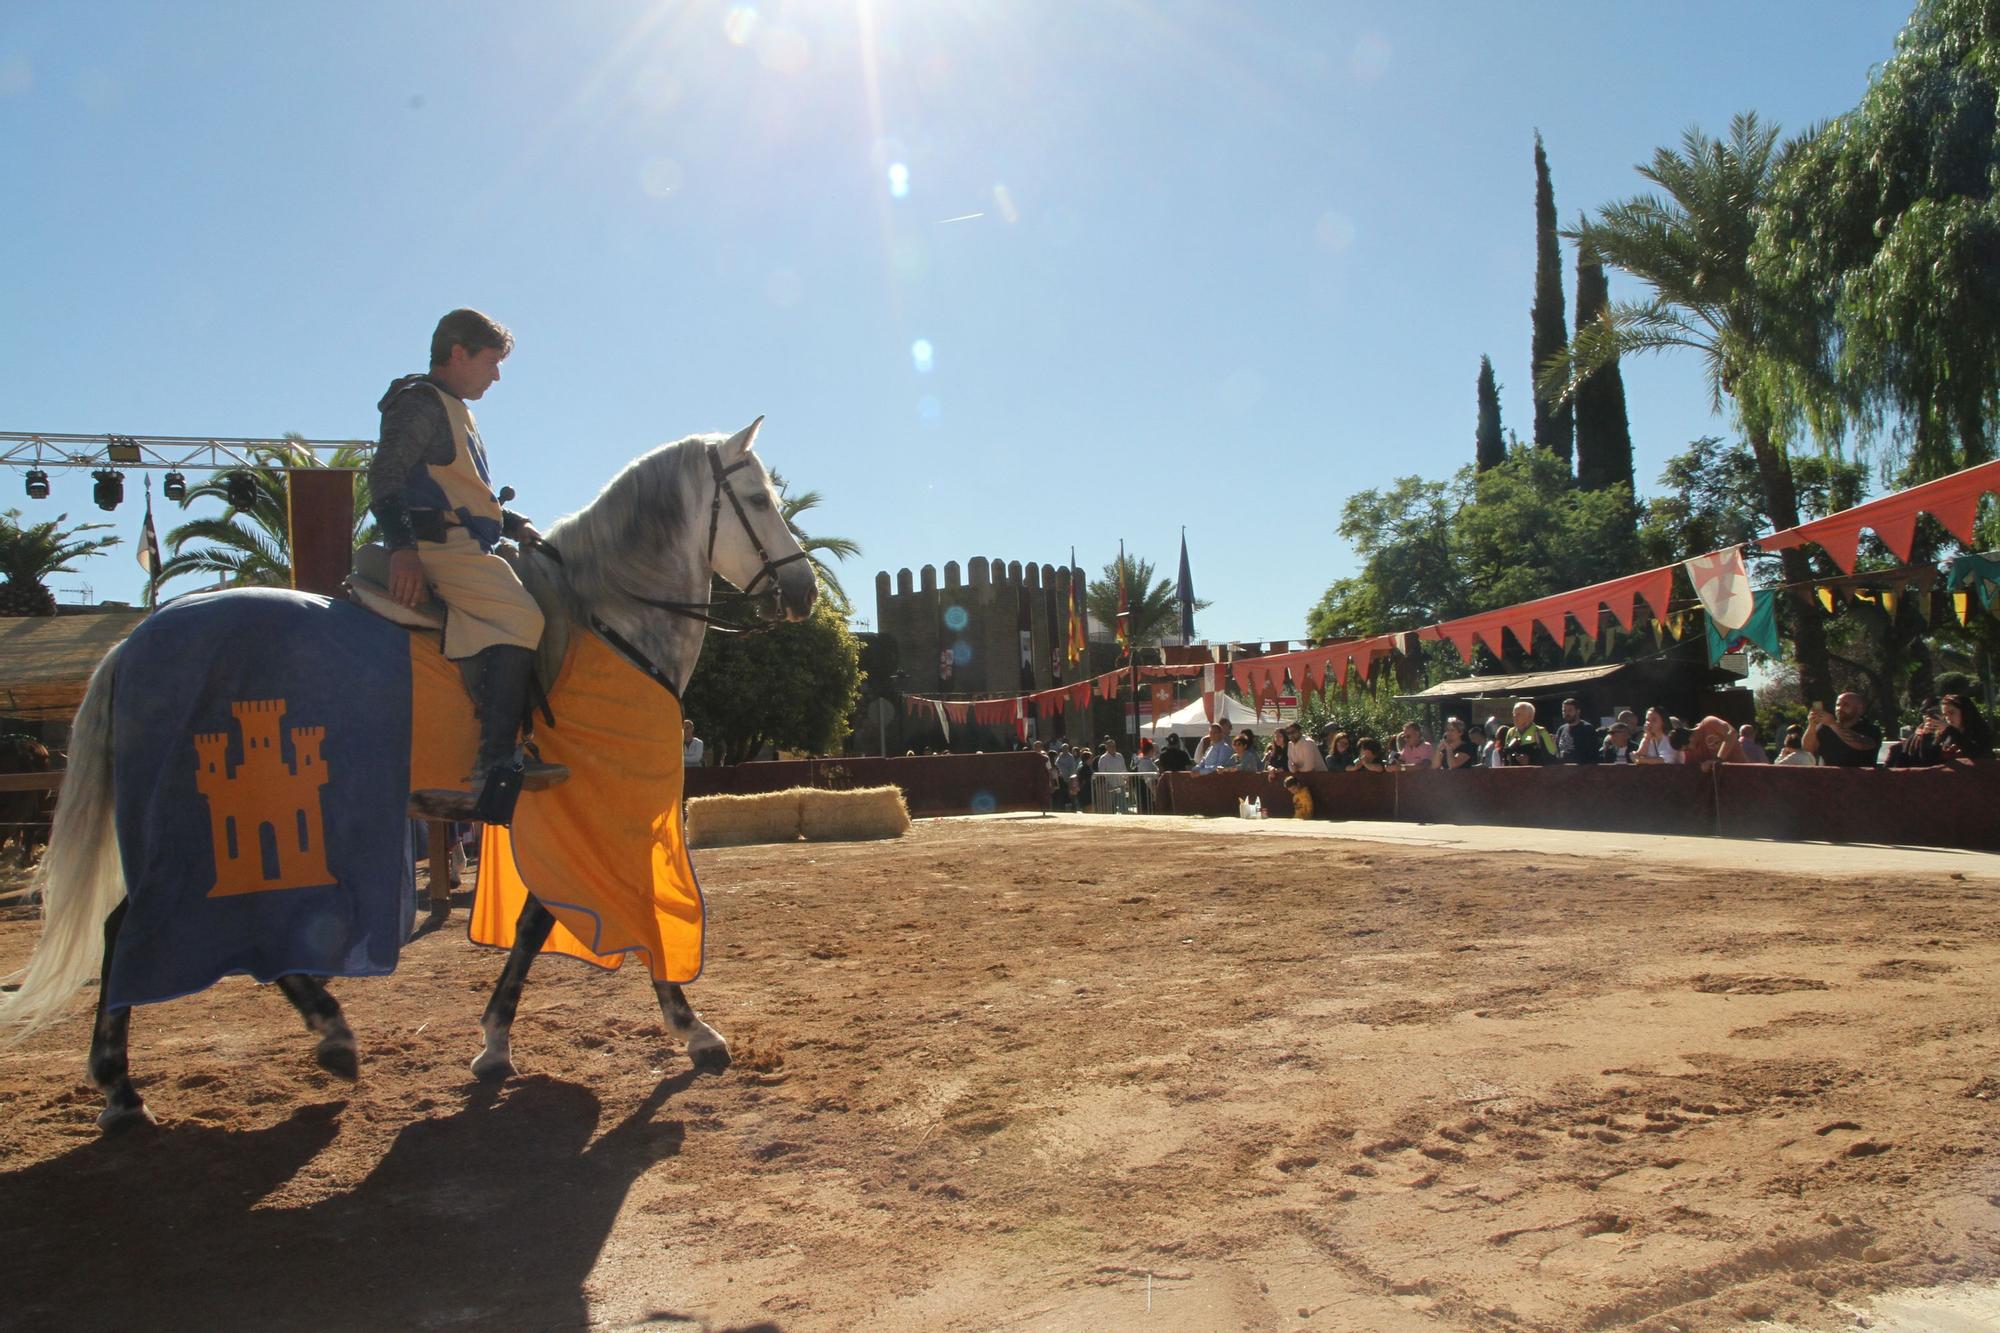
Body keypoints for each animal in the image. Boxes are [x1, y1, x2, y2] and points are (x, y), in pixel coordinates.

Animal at [5, 420, 820, 1128]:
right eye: (756, 499)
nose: (805, 592)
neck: (607, 621)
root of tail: (135, 642)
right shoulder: (603, 804)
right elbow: (631, 909)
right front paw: (694, 1030)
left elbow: (533, 923)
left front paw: (494, 1043)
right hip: (201, 818)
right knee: (137, 928)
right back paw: (137, 1085)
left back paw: (306, 1039)